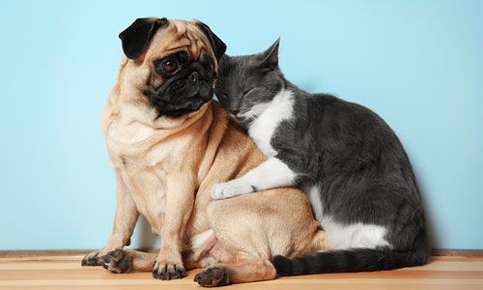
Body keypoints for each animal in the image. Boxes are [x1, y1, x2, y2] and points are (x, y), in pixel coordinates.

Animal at [82, 17, 328, 286]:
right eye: (169, 64)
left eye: (210, 68)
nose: (197, 76)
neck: (143, 120)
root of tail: (312, 229)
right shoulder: (124, 181)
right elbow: (121, 222)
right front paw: (108, 249)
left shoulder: (180, 180)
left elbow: (171, 225)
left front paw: (168, 262)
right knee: (194, 256)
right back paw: (122, 258)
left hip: (220, 206)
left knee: (264, 265)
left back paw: (215, 273)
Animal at [214, 40, 430, 274]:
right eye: (223, 94)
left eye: (248, 91)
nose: (234, 110)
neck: (265, 117)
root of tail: (421, 240)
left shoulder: (299, 158)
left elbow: (257, 174)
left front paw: (226, 187)